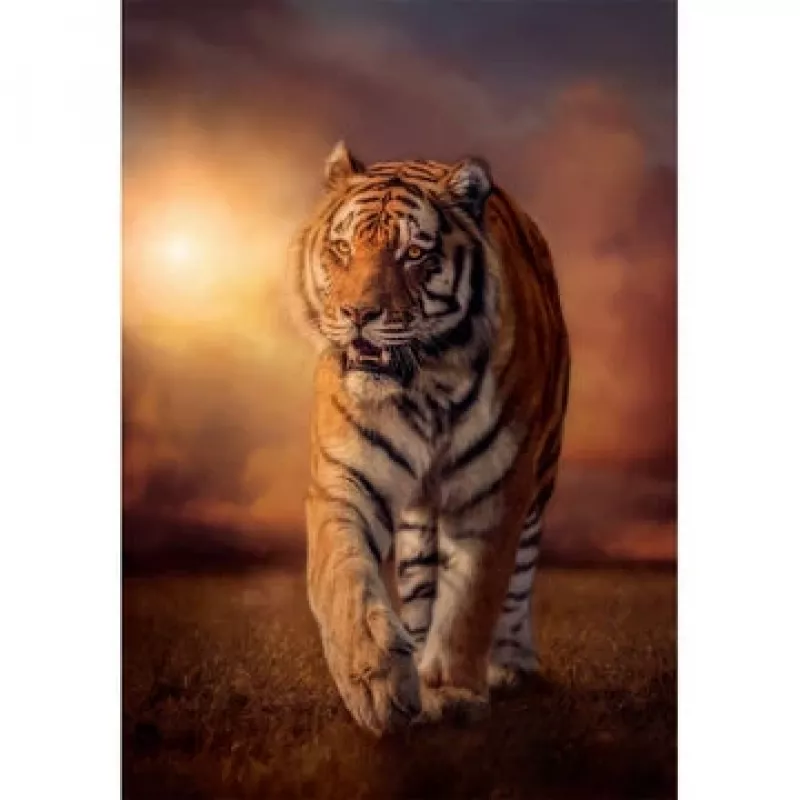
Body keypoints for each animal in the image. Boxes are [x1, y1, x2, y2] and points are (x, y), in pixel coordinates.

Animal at [288, 141, 570, 737]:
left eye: (414, 254)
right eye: (343, 248)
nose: (358, 314)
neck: (424, 386)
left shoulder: (495, 492)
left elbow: (472, 600)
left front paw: (454, 691)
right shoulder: (344, 479)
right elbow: (344, 576)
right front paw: (377, 682)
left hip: (542, 476)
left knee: (519, 577)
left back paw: (509, 664)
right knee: (420, 584)